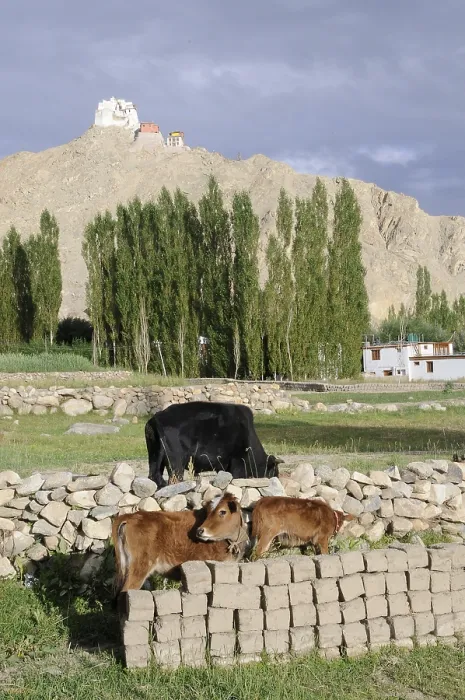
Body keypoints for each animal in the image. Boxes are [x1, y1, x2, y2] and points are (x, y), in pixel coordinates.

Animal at [145, 401, 284, 488]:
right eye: (274, 471)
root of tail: (156, 418)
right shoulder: (237, 463)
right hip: (176, 463)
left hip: (154, 457)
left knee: (154, 476)